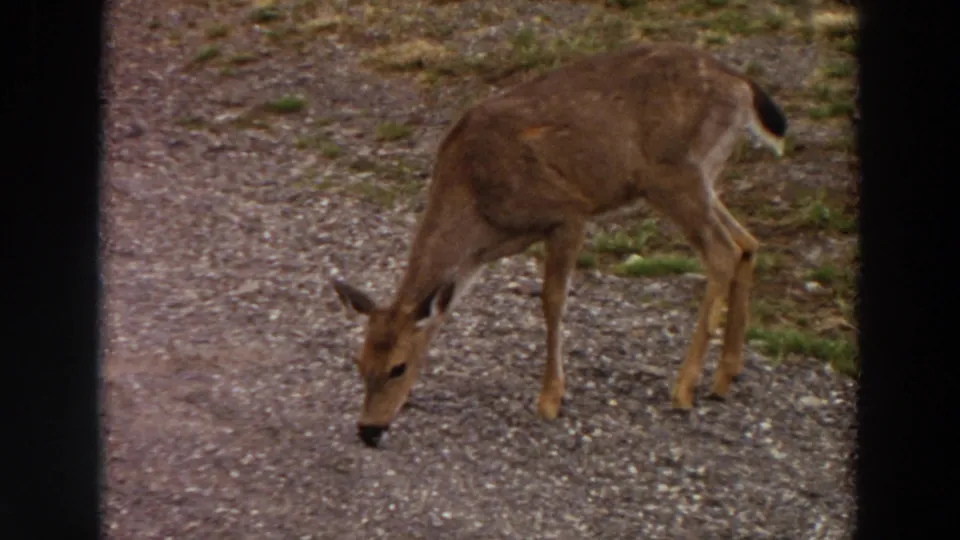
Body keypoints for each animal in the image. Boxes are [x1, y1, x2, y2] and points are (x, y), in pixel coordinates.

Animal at [332, 43, 787, 448]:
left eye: (398, 367)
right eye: (359, 363)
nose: (368, 430)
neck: (477, 206)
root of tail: (741, 84)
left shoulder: (568, 211)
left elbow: (552, 300)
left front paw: (550, 398)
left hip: (673, 174)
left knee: (722, 251)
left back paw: (685, 386)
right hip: (699, 177)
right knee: (748, 241)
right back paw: (725, 376)